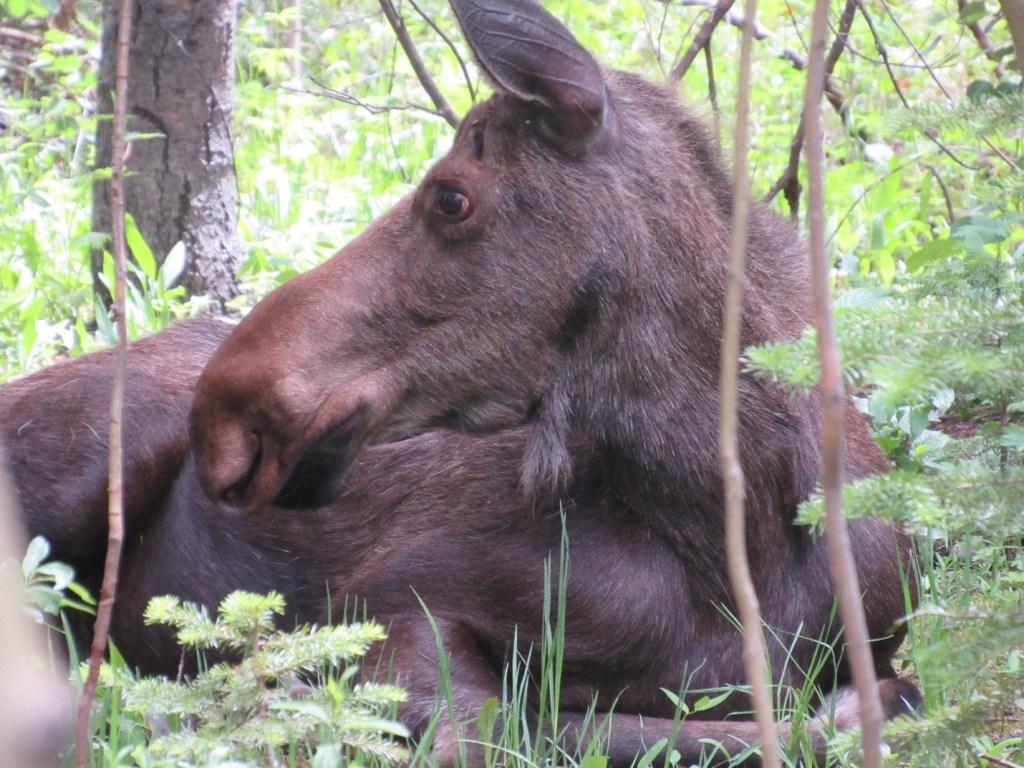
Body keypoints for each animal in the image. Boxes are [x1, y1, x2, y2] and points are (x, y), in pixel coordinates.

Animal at [2, 0, 919, 765]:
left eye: (450, 197)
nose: (226, 411)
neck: (731, 537)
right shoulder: (391, 600)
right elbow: (496, 724)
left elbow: (864, 704)